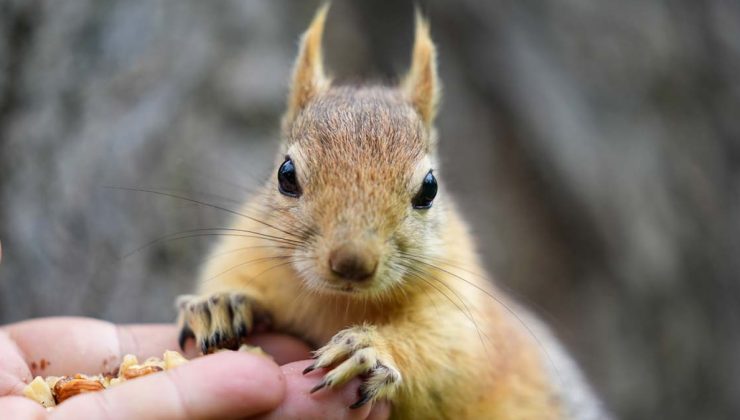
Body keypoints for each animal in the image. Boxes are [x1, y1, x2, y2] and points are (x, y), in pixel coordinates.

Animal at [176, 6, 608, 420]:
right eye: (286, 174)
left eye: (430, 188)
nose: (352, 263)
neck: (338, 302)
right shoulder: (246, 247)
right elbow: (226, 273)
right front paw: (220, 304)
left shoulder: (466, 308)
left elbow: (449, 352)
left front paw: (368, 349)